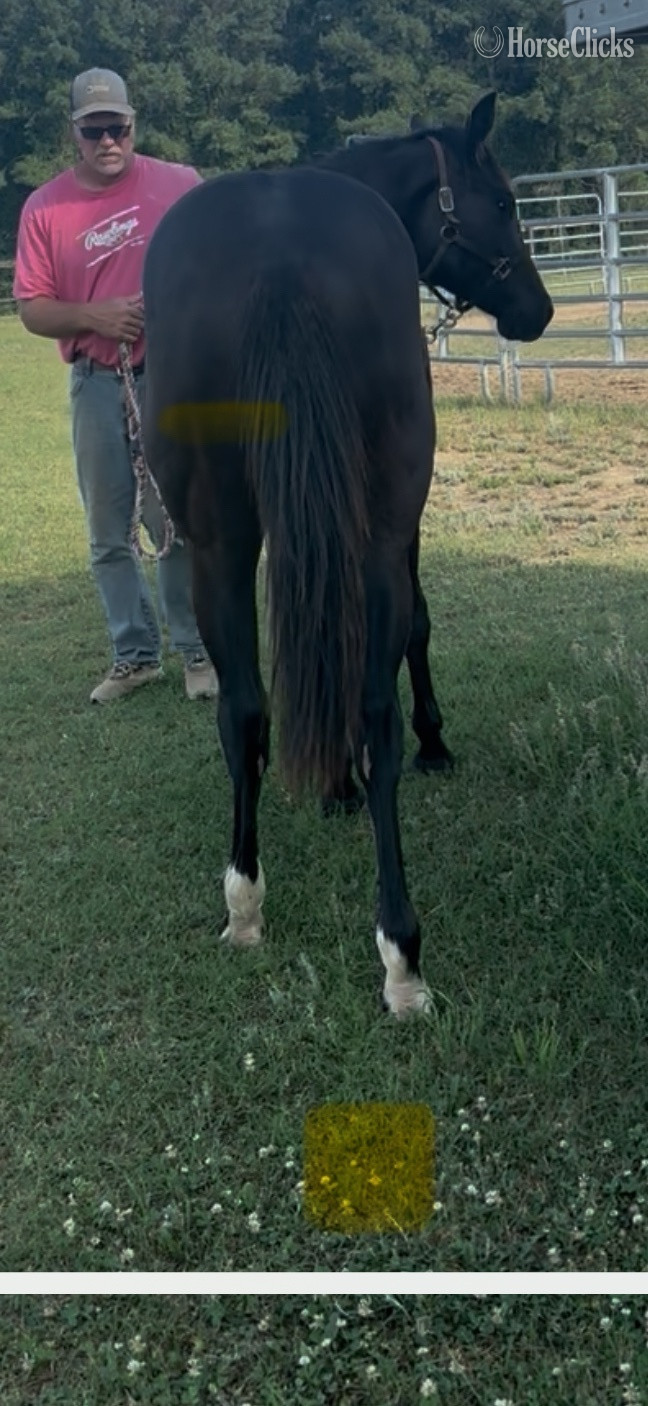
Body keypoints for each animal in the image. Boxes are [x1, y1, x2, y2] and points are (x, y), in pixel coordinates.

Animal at [142, 92, 553, 1016]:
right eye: (504, 202)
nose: (540, 312)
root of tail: (278, 254)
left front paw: (327, 787)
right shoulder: (399, 530)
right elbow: (418, 631)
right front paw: (431, 745)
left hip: (218, 545)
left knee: (244, 710)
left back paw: (245, 902)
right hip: (377, 533)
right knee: (374, 713)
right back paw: (401, 952)